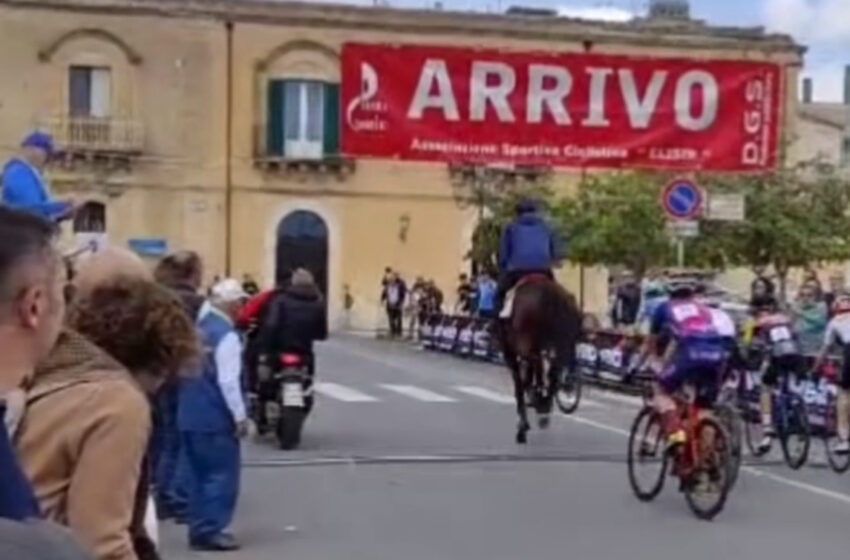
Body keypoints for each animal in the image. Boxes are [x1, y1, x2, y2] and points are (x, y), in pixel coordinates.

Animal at [496, 276, 584, 442]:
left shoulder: (512, 356)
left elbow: (520, 385)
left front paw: (523, 423)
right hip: (561, 346)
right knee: (553, 375)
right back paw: (545, 405)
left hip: (528, 347)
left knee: (536, 371)